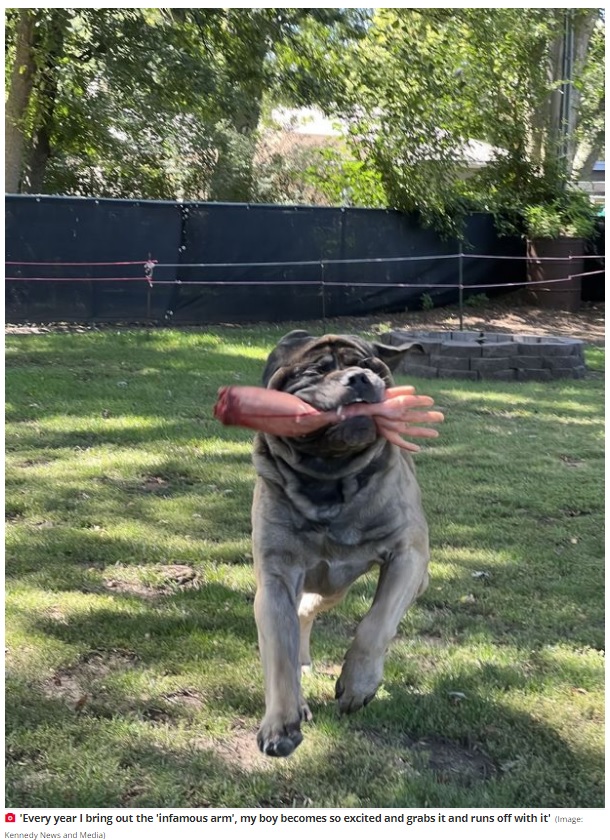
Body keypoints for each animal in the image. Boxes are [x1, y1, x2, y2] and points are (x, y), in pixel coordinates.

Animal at [249, 332, 430, 756]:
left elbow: (375, 625)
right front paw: (280, 723)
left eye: (370, 365)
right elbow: (279, 656)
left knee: (308, 613)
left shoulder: (408, 555)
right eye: (316, 370)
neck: (329, 483)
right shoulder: (276, 580)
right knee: (299, 620)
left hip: (335, 587)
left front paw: (357, 685)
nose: (360, 378)